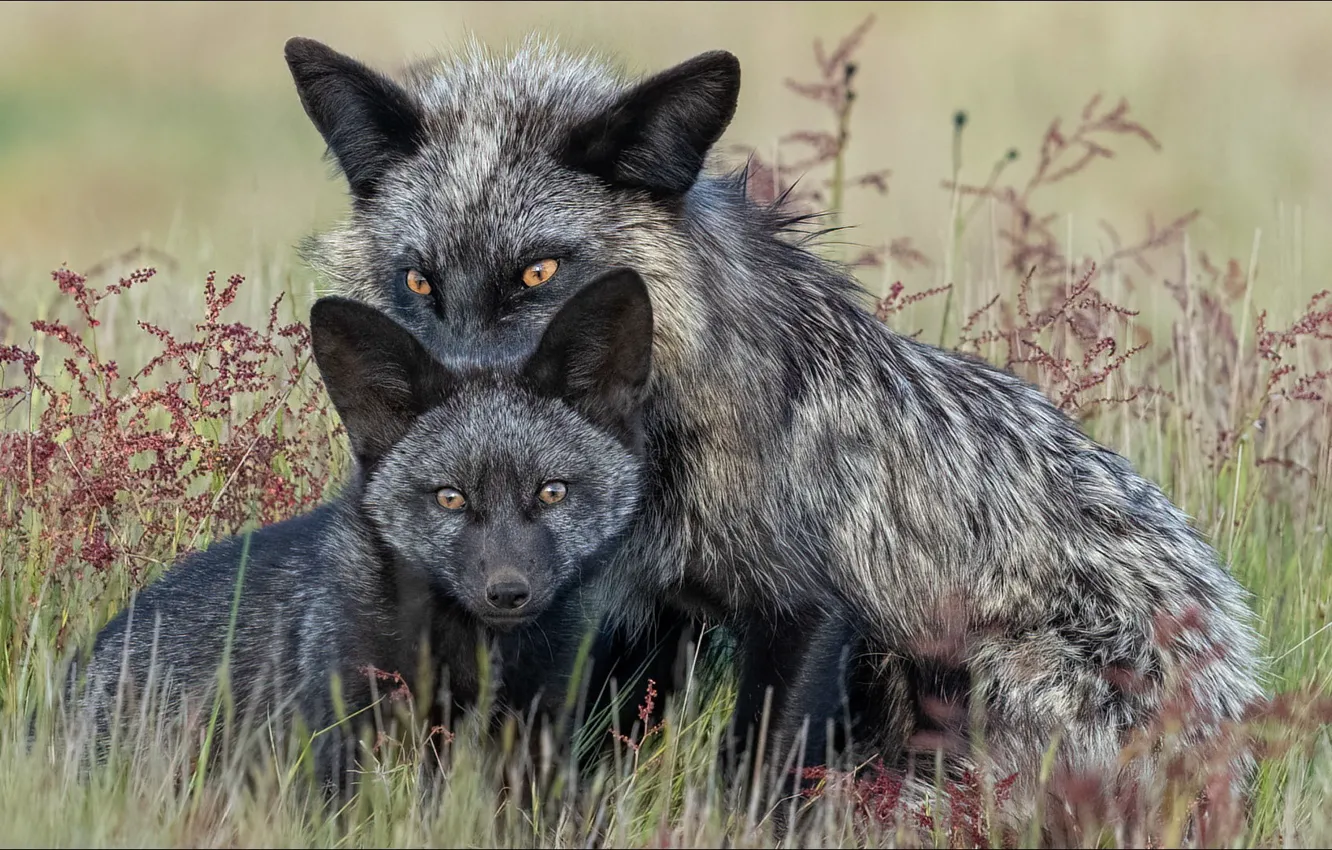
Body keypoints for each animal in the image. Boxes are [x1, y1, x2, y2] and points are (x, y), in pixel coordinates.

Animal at [67, 267, 656, 794]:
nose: (508, 592)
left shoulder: (540, 731)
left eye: (552, 492)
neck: (474, 657)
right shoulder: (339, 733)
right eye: (450, 497)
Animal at [282, 36, 1265, 826]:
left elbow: (753, 774)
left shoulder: (811, 605)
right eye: (419, 281)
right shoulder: (631, 613)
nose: (459, 410)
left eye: (538, 272)